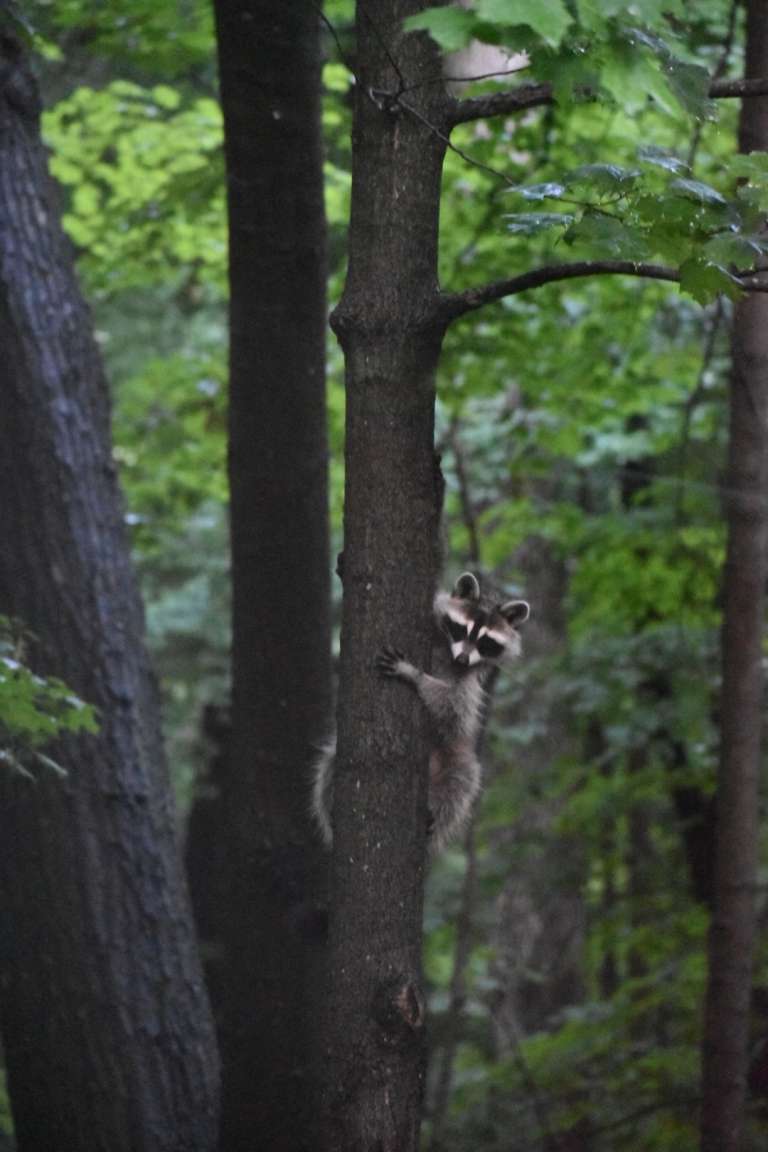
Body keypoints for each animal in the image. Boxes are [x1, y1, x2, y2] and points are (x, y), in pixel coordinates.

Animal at [310, 571, 529, 852]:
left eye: (485, 642)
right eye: (461, 629)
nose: (462, 660)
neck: (449, 652)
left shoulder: (467, 682)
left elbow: (453, 710)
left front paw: (413, 674)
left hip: (454, 756)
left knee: (463, 780)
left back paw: (437, 811)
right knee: (329, 764)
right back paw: (329, 806)